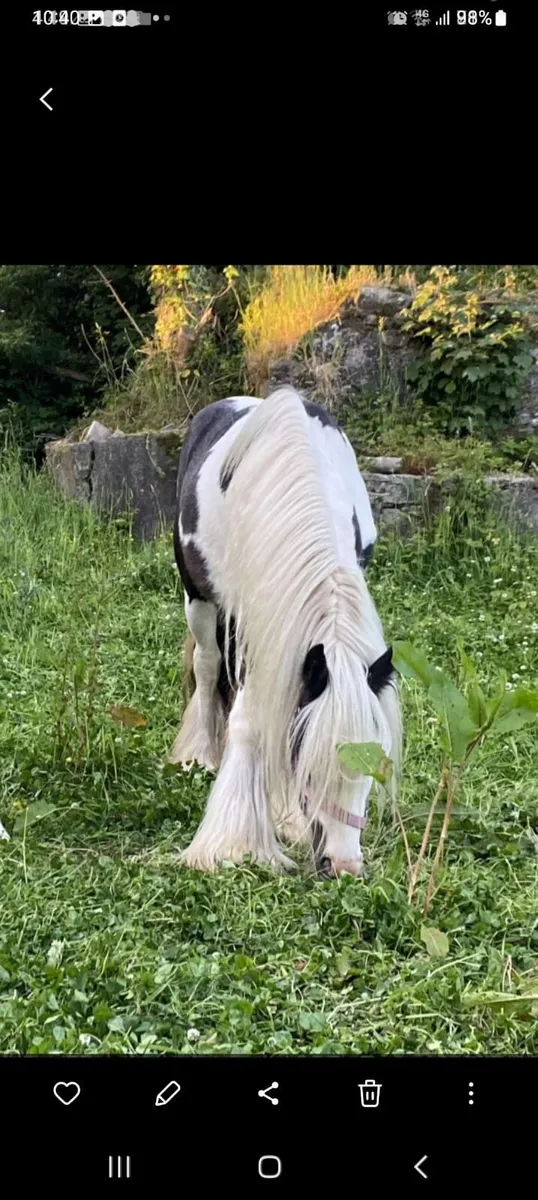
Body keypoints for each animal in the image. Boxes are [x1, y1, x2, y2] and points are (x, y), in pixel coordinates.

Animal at [169, 386, 401, 877]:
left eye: (375, 768)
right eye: (310, 769)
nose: (344, 864)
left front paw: (286, 818)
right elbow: (249, 719)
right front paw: (233, 843)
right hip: (199, 598)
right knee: (207, 667)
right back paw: (199, 753)